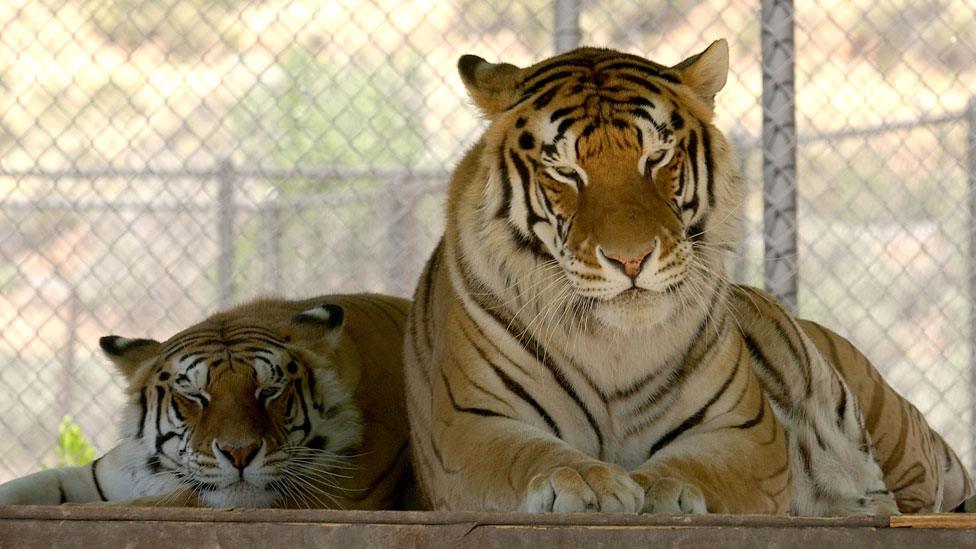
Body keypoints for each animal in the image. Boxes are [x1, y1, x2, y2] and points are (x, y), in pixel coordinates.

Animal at [400, 39, 972, 512]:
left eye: (656, 157)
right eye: (565, 171)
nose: (630, 259)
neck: (613, 345)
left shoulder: (743, 429)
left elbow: (699, 467)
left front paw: (661, 488)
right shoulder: (470, 423)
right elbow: (533, 454)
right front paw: (587, 481)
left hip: (896, 432)